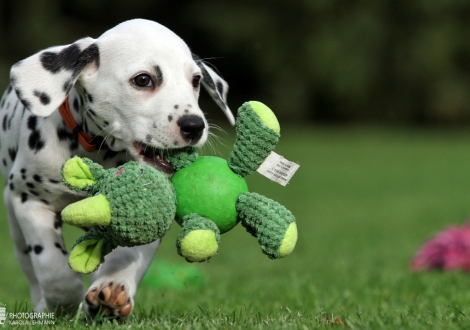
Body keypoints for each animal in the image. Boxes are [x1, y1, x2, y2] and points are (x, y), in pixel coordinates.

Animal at [0, 19, 234, 318]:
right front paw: (64, 300)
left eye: (195, 81)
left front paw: (112, 288)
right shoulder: (31, 201)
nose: (194, 126)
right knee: (31, 270)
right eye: (143, 79)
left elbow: (129, 253)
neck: (96, 151)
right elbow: (52, 267)